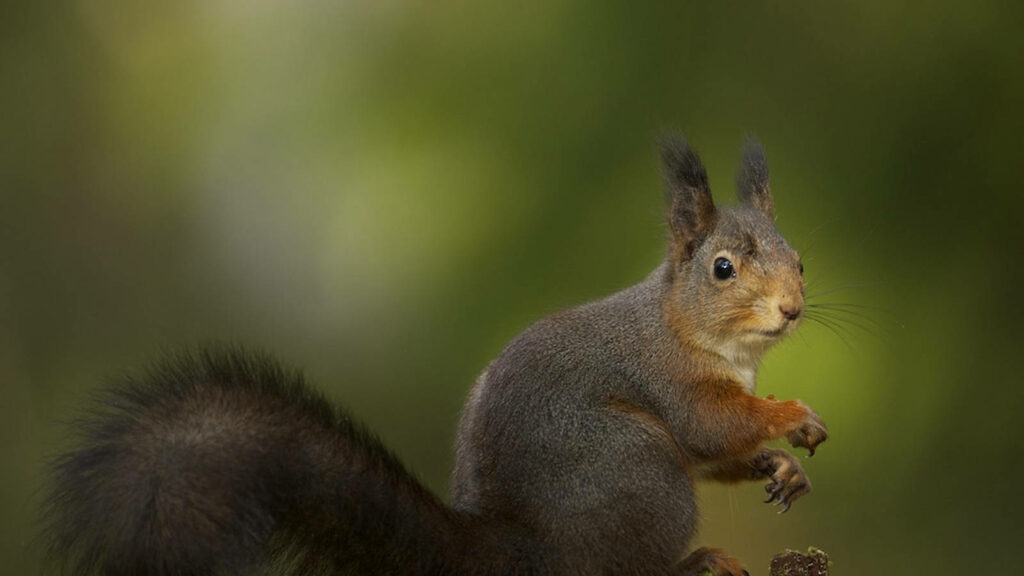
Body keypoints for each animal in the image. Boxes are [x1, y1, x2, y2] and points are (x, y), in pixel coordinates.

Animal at [42, 136, 827, 576]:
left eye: (800, 261)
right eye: (723, 269)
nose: (791, 310)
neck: (703, 336)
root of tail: (522, 549)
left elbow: (720, 453)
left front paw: (779, 466)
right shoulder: (668, 379)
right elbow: (710, 427)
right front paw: (790, 415)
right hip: (637, 470)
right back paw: (693, 562)